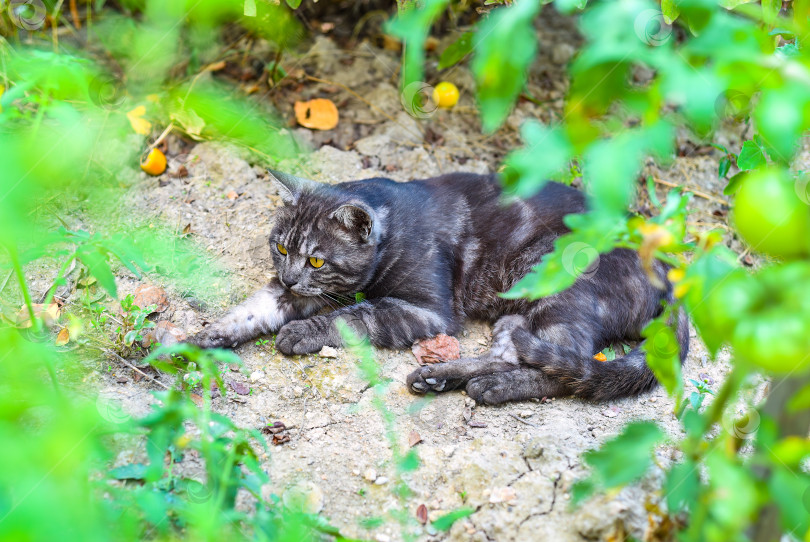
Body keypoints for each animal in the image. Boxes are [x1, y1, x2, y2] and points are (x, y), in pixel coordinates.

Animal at [186, 170, 684, 404]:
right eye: (281, 248)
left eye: (316, 259)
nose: (291, 276)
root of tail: (668, 271)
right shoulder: (292, 291)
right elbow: (250, 309)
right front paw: (196, 339)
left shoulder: (427, 310)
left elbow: (356, 315)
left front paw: (303, 333)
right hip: (516, 314)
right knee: (516, 353)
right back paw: (442, 377)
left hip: (558, 291)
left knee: (569, 367)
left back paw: (489, 388)